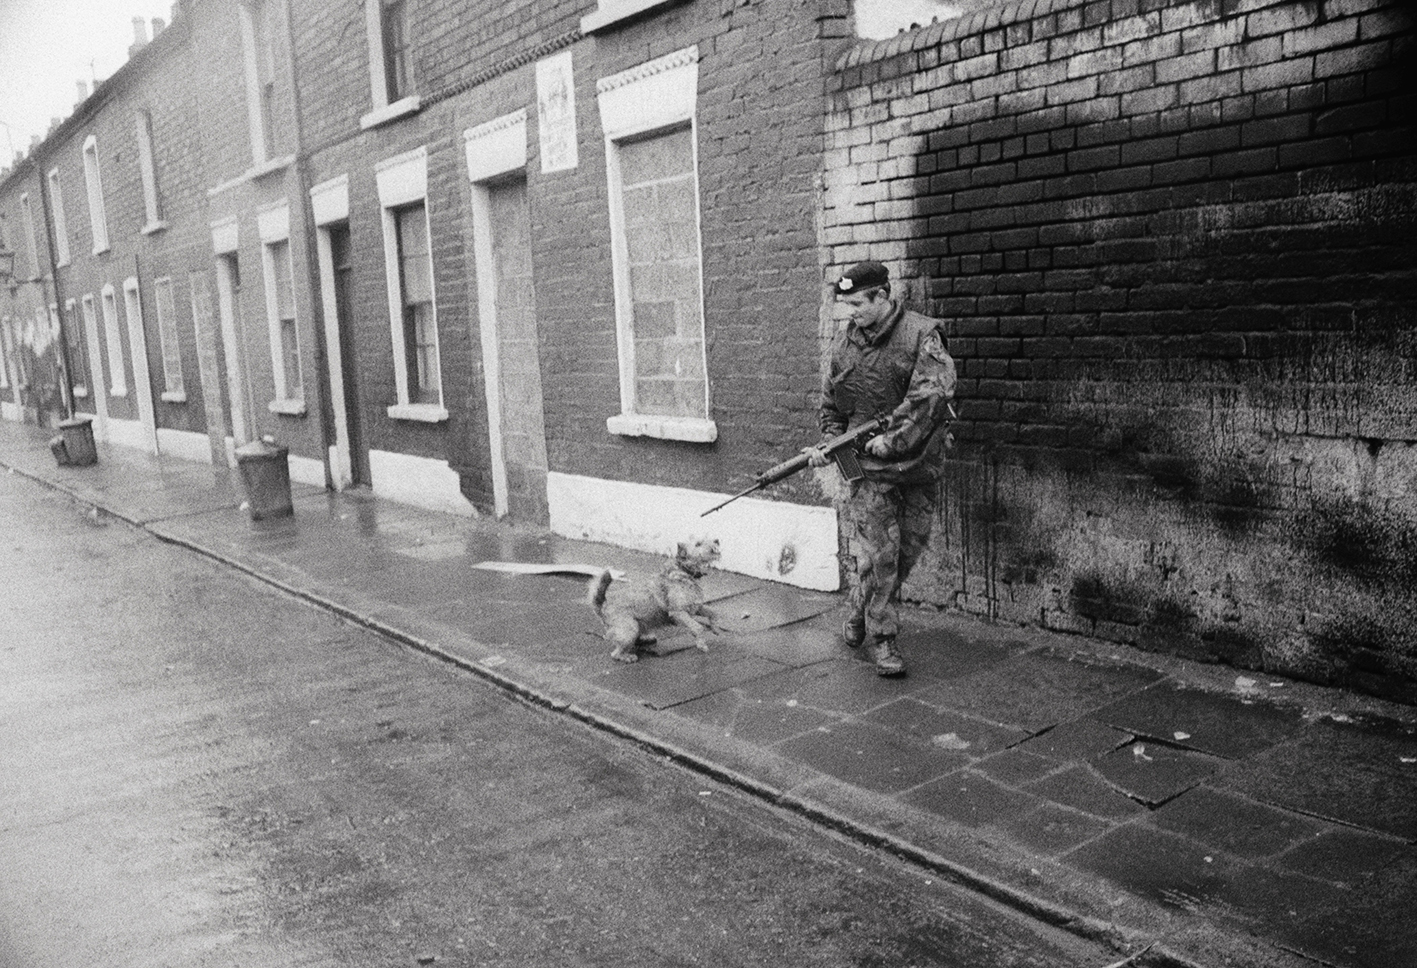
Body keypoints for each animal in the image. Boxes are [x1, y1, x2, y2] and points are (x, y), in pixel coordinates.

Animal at [586, 538, 725, 666]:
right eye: (698, 544)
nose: (717, 540)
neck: (685, 572)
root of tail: (603, 606)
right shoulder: (678, 612)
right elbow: (698, 627)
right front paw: (701, 644)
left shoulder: (696, 607)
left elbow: (714, 613)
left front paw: (715, 628)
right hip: (630, 629)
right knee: (615, 653)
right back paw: (628, 657)